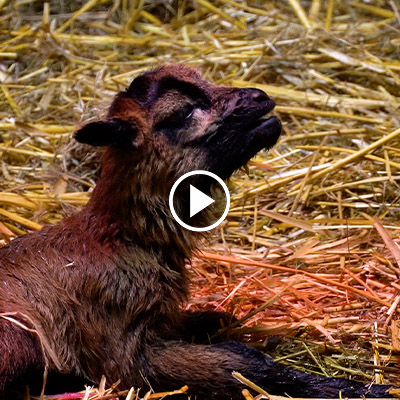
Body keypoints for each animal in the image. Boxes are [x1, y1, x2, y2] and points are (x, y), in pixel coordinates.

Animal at [0, 65, 394, 400]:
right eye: (182, 114)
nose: (260, 97)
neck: (125, 240)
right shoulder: (122, 349)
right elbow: (243, 364)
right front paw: (357, 388)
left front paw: (215, 319)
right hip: (19, 338)